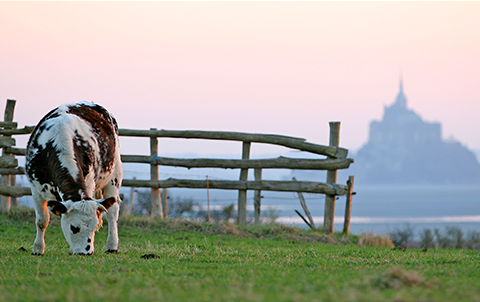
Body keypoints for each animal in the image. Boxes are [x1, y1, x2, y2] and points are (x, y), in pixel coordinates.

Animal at [25, 102, 123, 255]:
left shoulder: (89, 184)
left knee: (113, 212)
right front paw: (38, 249)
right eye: (74, 227)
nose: (85, 252)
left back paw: (112, 246)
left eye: (93, 227)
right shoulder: (36, 190)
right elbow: (42, 221)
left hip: (115, 175)